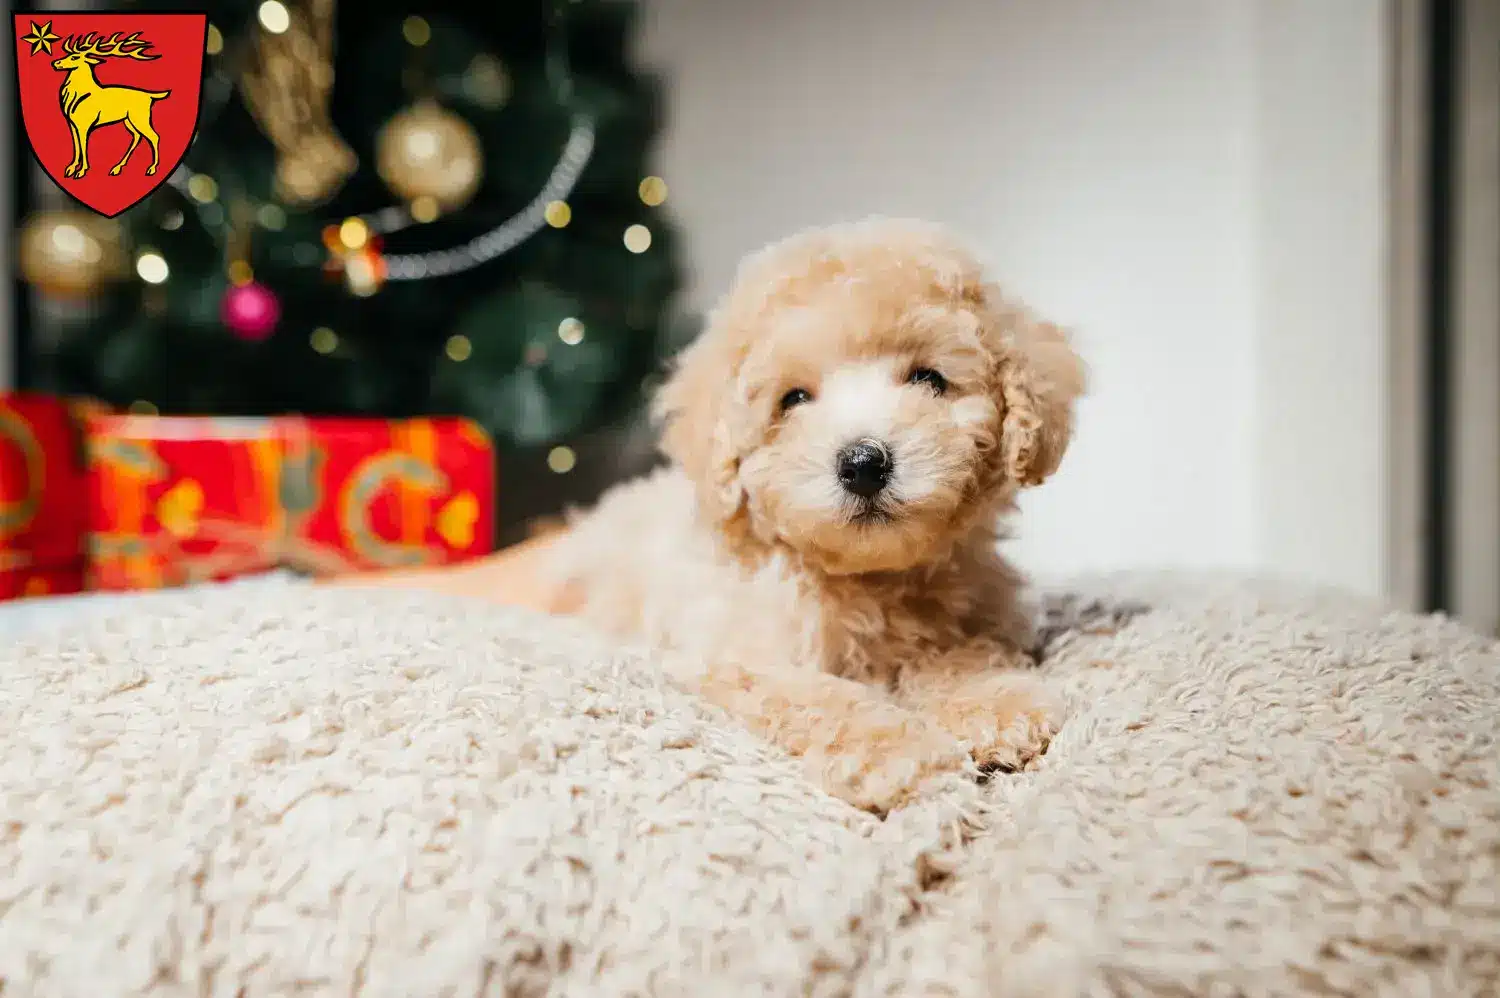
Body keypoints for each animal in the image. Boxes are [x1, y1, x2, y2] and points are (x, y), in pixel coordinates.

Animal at [546, 216, 1086, 810]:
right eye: (793, 399)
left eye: (929, 379)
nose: (863, 463)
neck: (868, 579)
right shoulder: (729, 658)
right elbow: (817, 697)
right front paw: (898, 753)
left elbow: (959, 649)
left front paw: (993, 703)